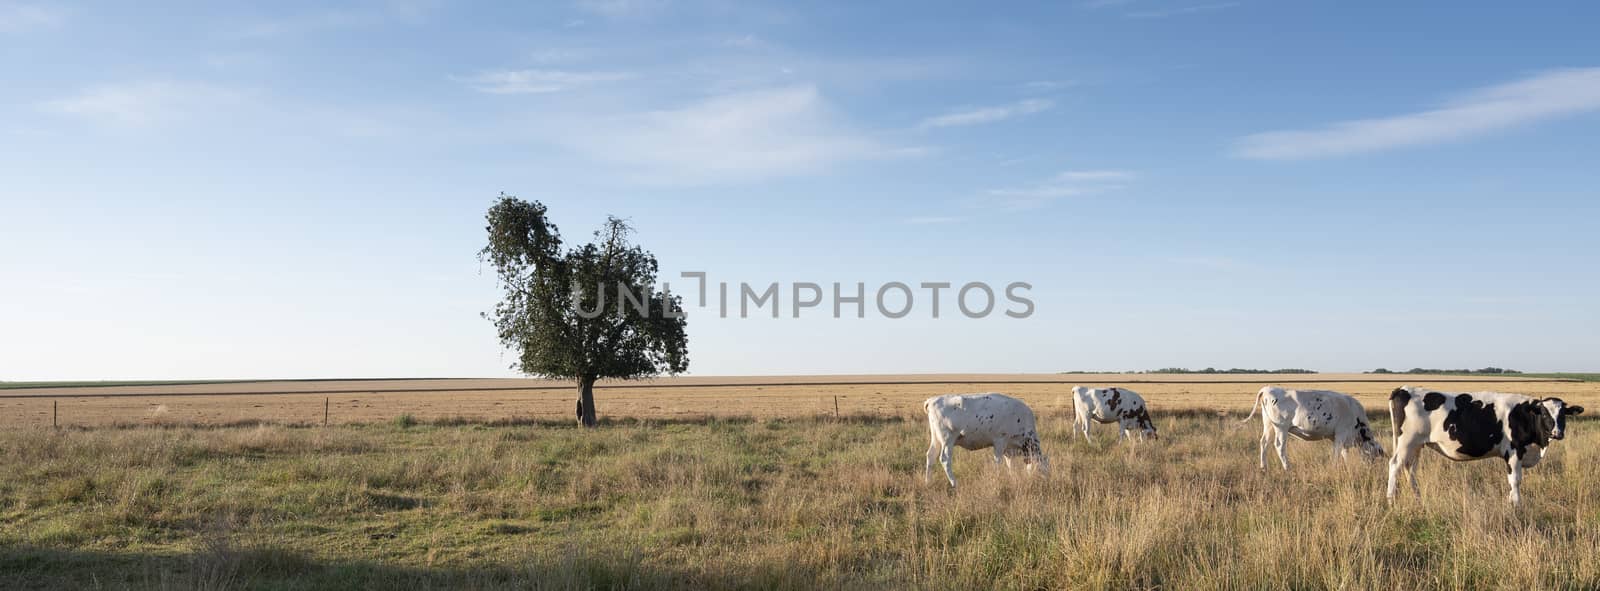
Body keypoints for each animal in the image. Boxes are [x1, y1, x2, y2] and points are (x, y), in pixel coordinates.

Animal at [1235, 387, 1388, 470]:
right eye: (1375, 456)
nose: (1370, 468)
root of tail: (1268, 388)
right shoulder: (1341, 433)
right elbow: (1337, 453)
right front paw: (1334, 467)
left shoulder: (1341, 438)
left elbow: (1344, 453)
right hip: (1281, 427)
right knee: (1279, 446)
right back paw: (1287, 467)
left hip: (1268, 425)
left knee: (1264, 443)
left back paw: (1264, 467)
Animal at [1388, 384, 1587, 502]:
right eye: (1545, 413)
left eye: (1563, 415)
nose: (1557, 433)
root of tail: (1403, 389)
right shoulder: (1514, 452)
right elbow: (1515, 480)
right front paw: (1517, 506)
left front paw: (1511, 502)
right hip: (1407, 442)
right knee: (1395, 465)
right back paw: (1391, 500)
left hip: (1416, 445)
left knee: (1409, 469)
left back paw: (1417, 498)